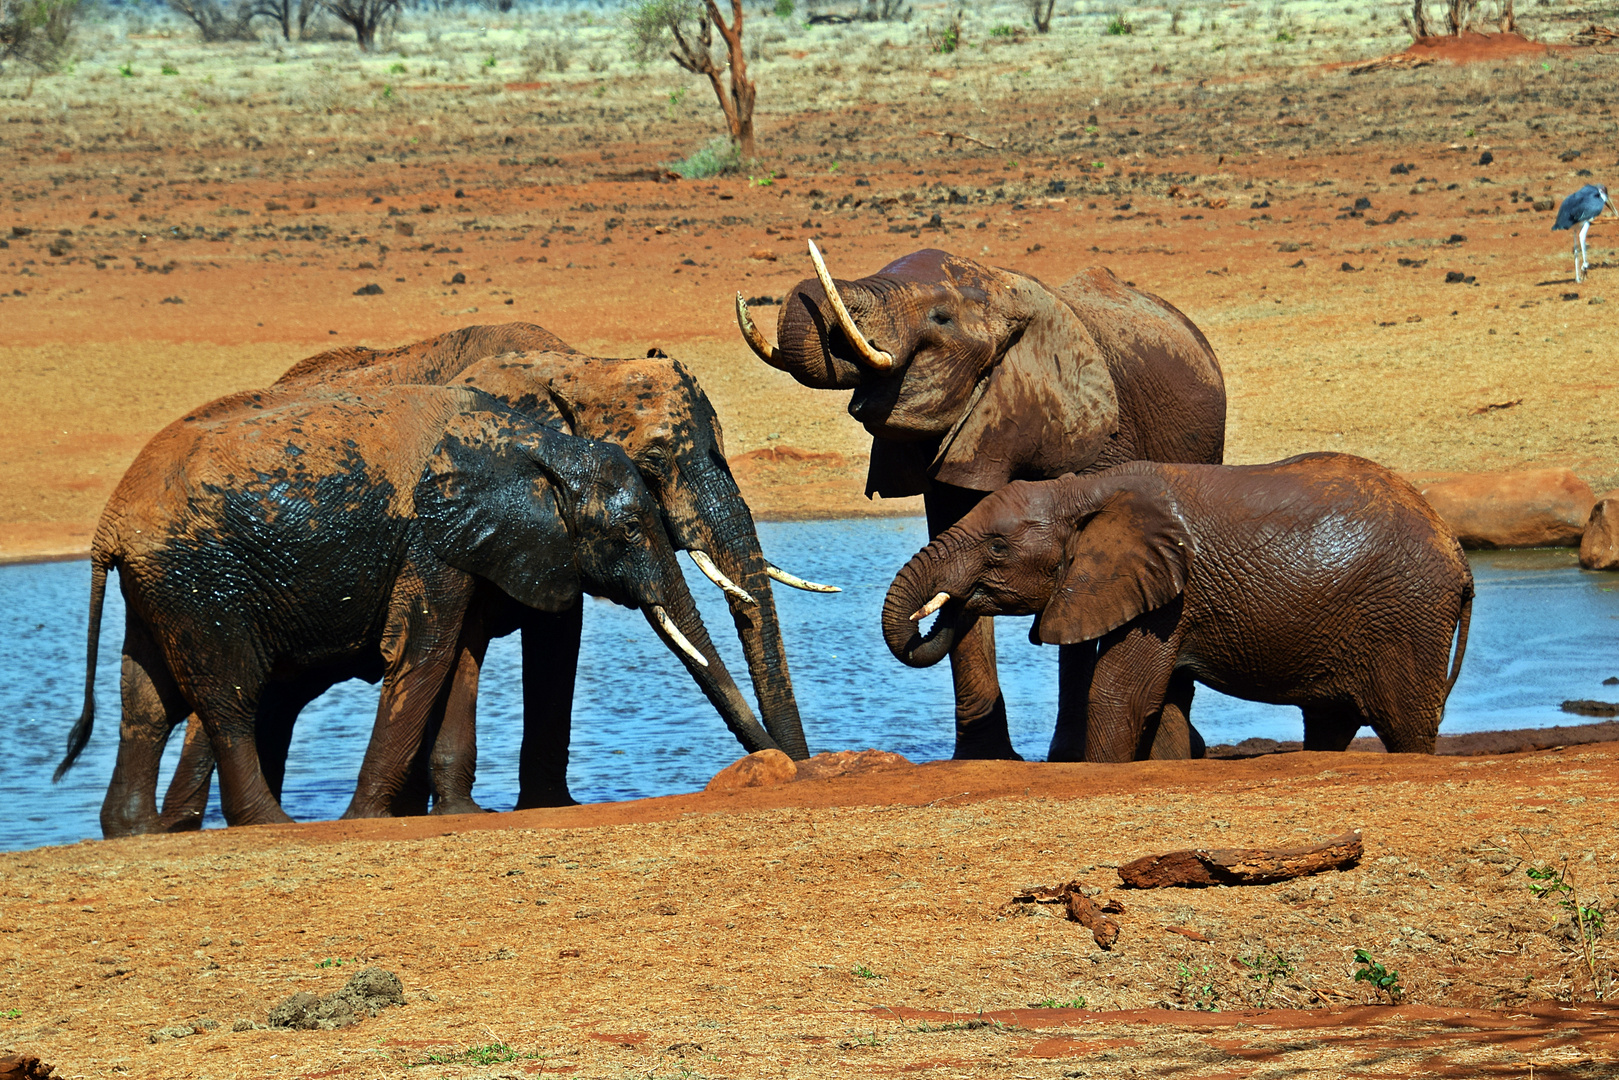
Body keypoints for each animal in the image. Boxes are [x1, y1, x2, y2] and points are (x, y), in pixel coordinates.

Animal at [57, 386, 770, 835]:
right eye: (626, 530)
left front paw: (463, 816)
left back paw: (133, 831)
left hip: (159, 585)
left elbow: (461, 656)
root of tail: (108, 523)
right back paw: (272, 823)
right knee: (230, 694)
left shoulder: (474, 544)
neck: (539, 445)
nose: (781, 765)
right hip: (201, 579)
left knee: (146, 702)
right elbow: (422, 651)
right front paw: (367, 820)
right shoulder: (433, 536)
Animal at [738, 244, 1223, 761]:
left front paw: (1062, 757)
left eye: (941, 318)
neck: (1005, 289)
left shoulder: (1096, 437)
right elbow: (952, 528)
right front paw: (982, 755)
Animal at [880, 453, 1476, 764]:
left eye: (998, 547)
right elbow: (1164, 702)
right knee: (1330, 723)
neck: (1085, 491)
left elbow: (1118, 695)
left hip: (1407, 616)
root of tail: (1458, 553)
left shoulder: (1167, 598)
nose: (953, 600)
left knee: (1406, 726)